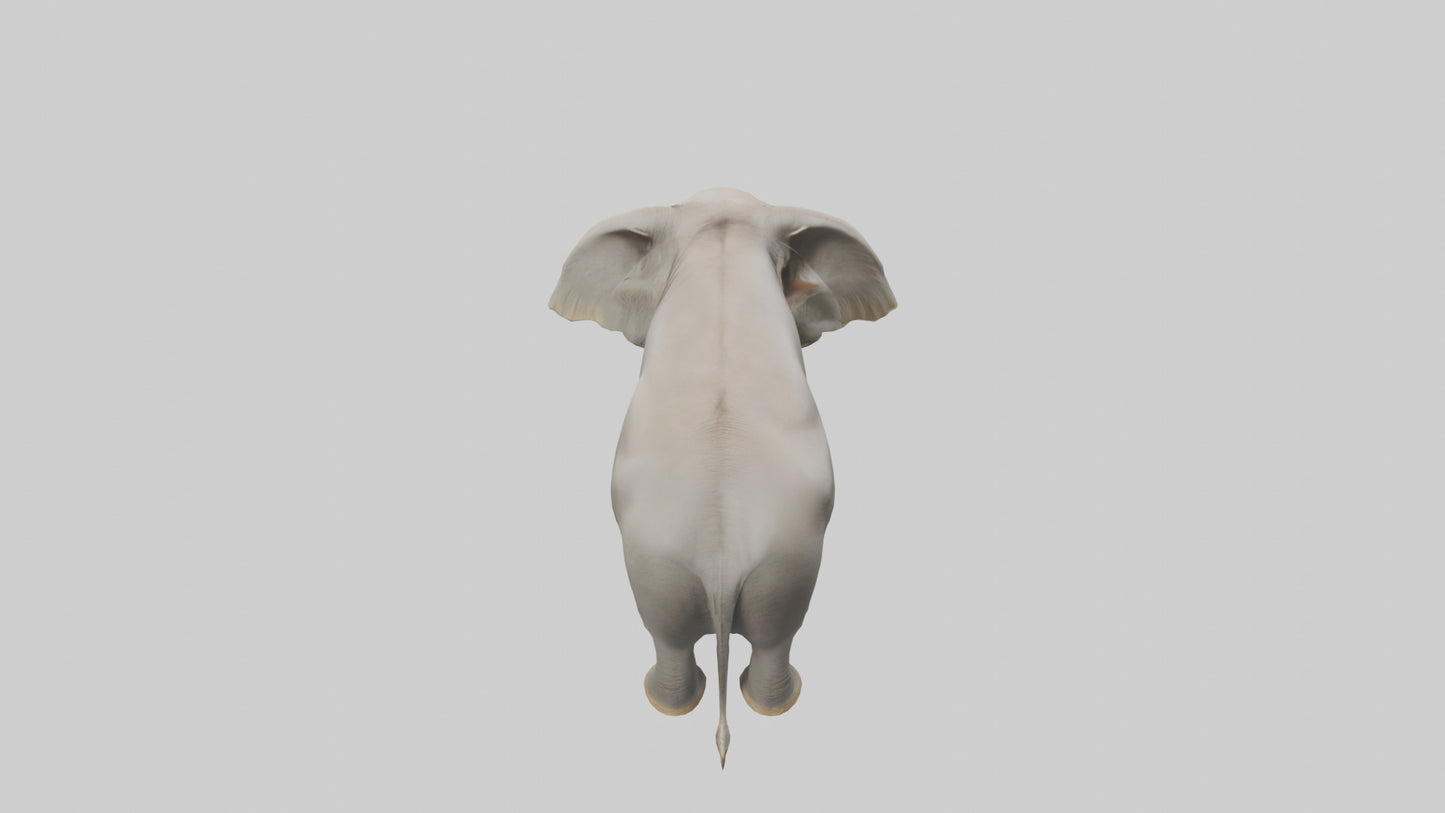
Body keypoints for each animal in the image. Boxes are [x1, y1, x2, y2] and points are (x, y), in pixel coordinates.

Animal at [549, 188, 895, 766]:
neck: (723, 234)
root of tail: (720, 563)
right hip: (727, 570)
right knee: (750, 634)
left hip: (744, 569)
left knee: (695, 637)